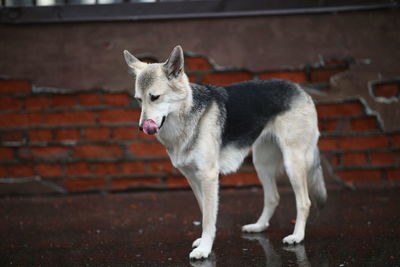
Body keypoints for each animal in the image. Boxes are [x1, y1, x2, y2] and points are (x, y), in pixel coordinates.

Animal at [123, 45, 326, 260]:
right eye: (139, 100)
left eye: (155, 97)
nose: (141, 127)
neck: (186, 116)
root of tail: (300, 89)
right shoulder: (192, 178)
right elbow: (205, 211)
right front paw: (204, 242)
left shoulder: (209, 176)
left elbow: (208, 217)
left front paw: (204, 249)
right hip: (262, 164)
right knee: (273, 197)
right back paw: (259, 226)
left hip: (292, 163)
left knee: (304, 202)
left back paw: (297, 236)